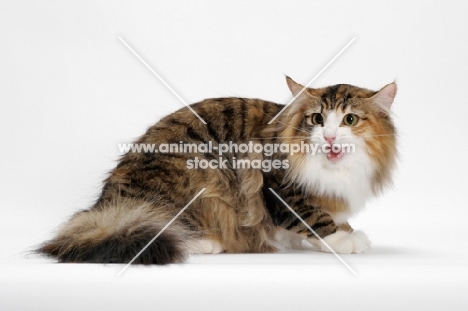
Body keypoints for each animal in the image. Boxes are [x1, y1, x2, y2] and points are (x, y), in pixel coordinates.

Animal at [38, 77, 396, 264]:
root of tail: (106, 207)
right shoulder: (278, 188)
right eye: (317, 119)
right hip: (198, 178)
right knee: (161, 228)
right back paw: (206, 243)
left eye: (350, 119)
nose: (330, 136)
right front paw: (344, 239)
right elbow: (315, 218)